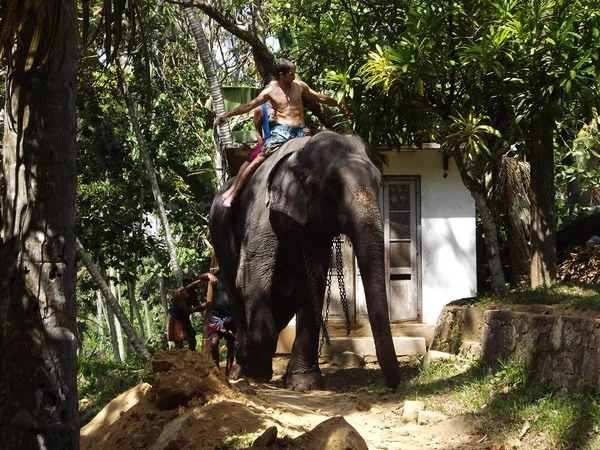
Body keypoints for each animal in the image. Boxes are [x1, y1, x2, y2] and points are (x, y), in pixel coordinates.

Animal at [209, 129, 400, 390]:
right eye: (333, 183)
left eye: (379, 180)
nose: (393, 384)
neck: (299, 153)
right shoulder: (260, 215)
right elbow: (252, 279)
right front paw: (253, 366)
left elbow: (314, 284)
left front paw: (303, 384)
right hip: (220, 238)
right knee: (235, 291)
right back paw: (243, 371)